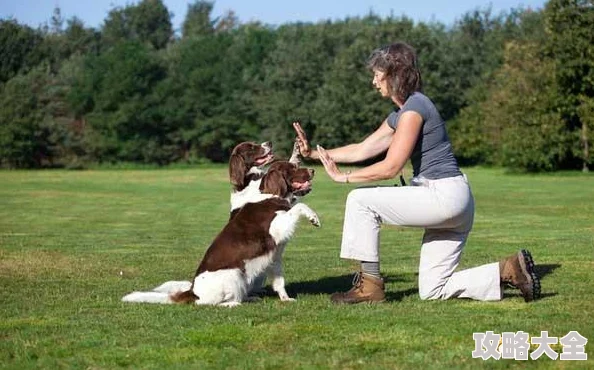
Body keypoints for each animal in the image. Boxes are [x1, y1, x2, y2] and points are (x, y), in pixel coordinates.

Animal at [121, 161, 320, 306]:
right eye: (293, 168)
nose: (312, 170)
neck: (271, 195)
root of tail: (193, 291)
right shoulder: (276, 227)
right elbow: (298, 207)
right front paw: (314, 217)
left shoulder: (275, 257)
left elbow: (279, 282)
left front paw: (286, 299)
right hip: (234, 273)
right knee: (209, 303)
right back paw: (234, 304)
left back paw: (249, 298)